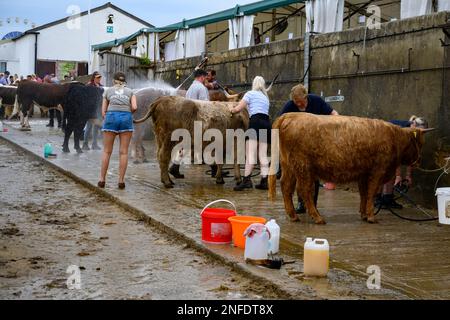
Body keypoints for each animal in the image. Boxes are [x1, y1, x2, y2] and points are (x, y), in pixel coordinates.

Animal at [268, 114, 430, 224]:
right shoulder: (378, 171)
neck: (395, 137)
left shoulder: (364, 173)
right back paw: (318, 218)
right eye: (421, 143)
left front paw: (364, 214)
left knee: (286, 186)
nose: (419, 161)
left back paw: (294, 216)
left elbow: (364, 194)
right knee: (304, 190)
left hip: (289, 166)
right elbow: (371, 193)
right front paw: (371, 216)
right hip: (303, 167)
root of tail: (291, 115)